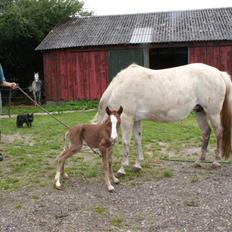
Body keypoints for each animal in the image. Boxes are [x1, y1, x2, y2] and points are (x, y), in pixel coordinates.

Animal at [94, 63, 232, 176]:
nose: (100, 158)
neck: (119, 87)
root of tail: (219, 73)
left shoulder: (127, 118)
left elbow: (126, 142)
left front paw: (122, 169)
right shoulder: (136, 120)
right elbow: (138, 140)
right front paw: (138, 165)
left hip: (213, 113)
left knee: (219, 132)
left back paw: (216, 162)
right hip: (200, 111)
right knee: (206, 133)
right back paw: (198, 161)